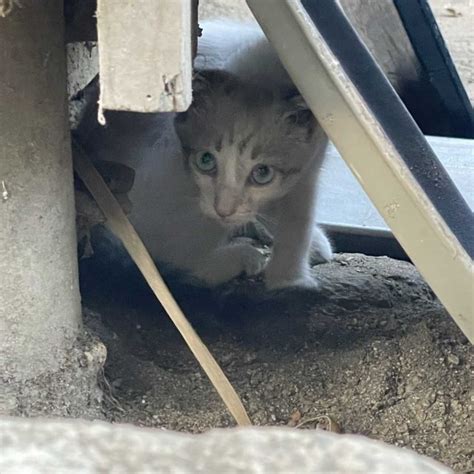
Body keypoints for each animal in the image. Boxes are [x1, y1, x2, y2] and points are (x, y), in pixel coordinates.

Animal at [76, 23, 332, 288]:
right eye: (205, 161)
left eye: (262, 173)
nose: (224, 210)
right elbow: (296, 221)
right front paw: (290, 280)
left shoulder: (310, 160)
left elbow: (293, 212)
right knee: (161, 251)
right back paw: (234, 258)